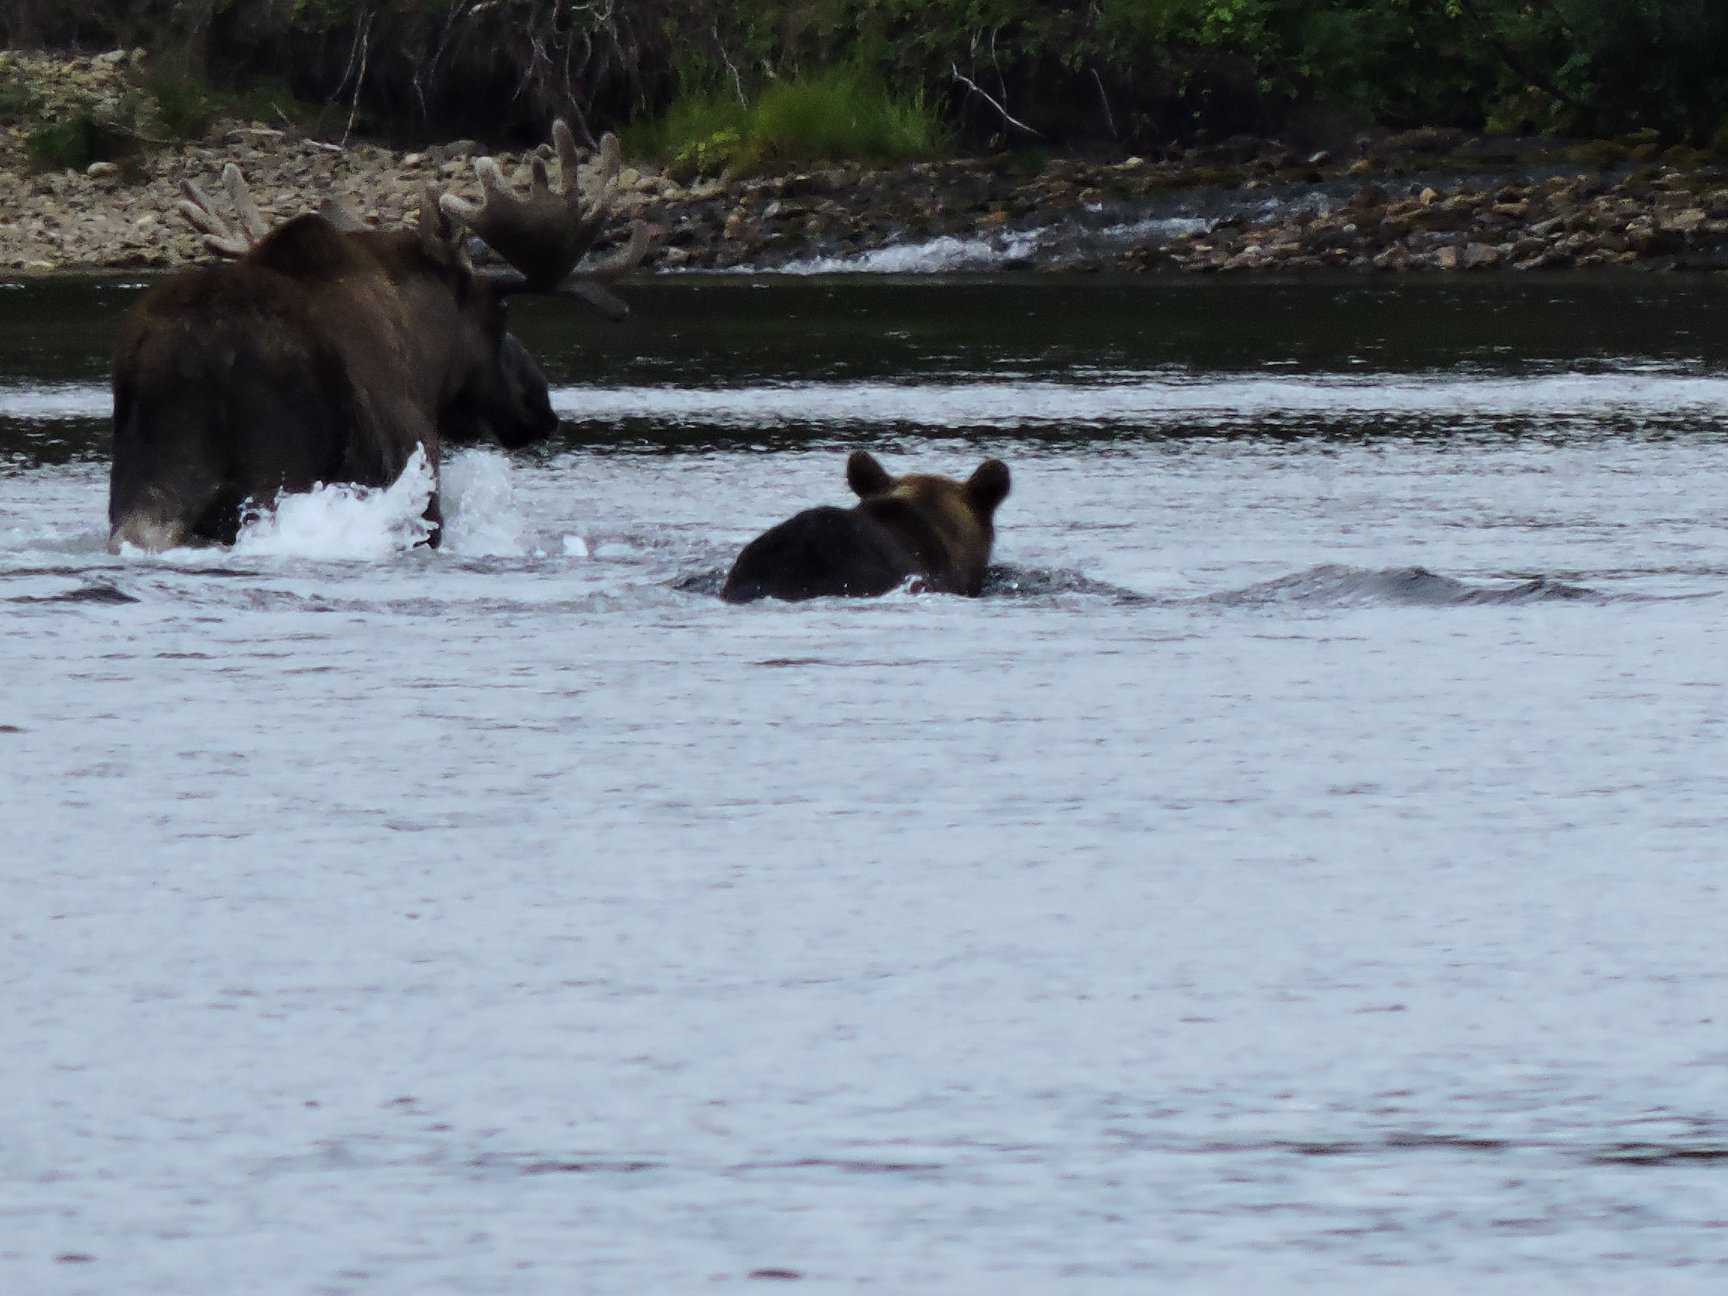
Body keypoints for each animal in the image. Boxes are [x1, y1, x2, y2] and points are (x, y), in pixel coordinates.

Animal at [109, 119, 649, 549]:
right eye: (500, 316)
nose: (541, 406)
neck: (423, 356)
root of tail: (193, 357)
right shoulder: (419, 478)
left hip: (146, 494)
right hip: (273, 472)